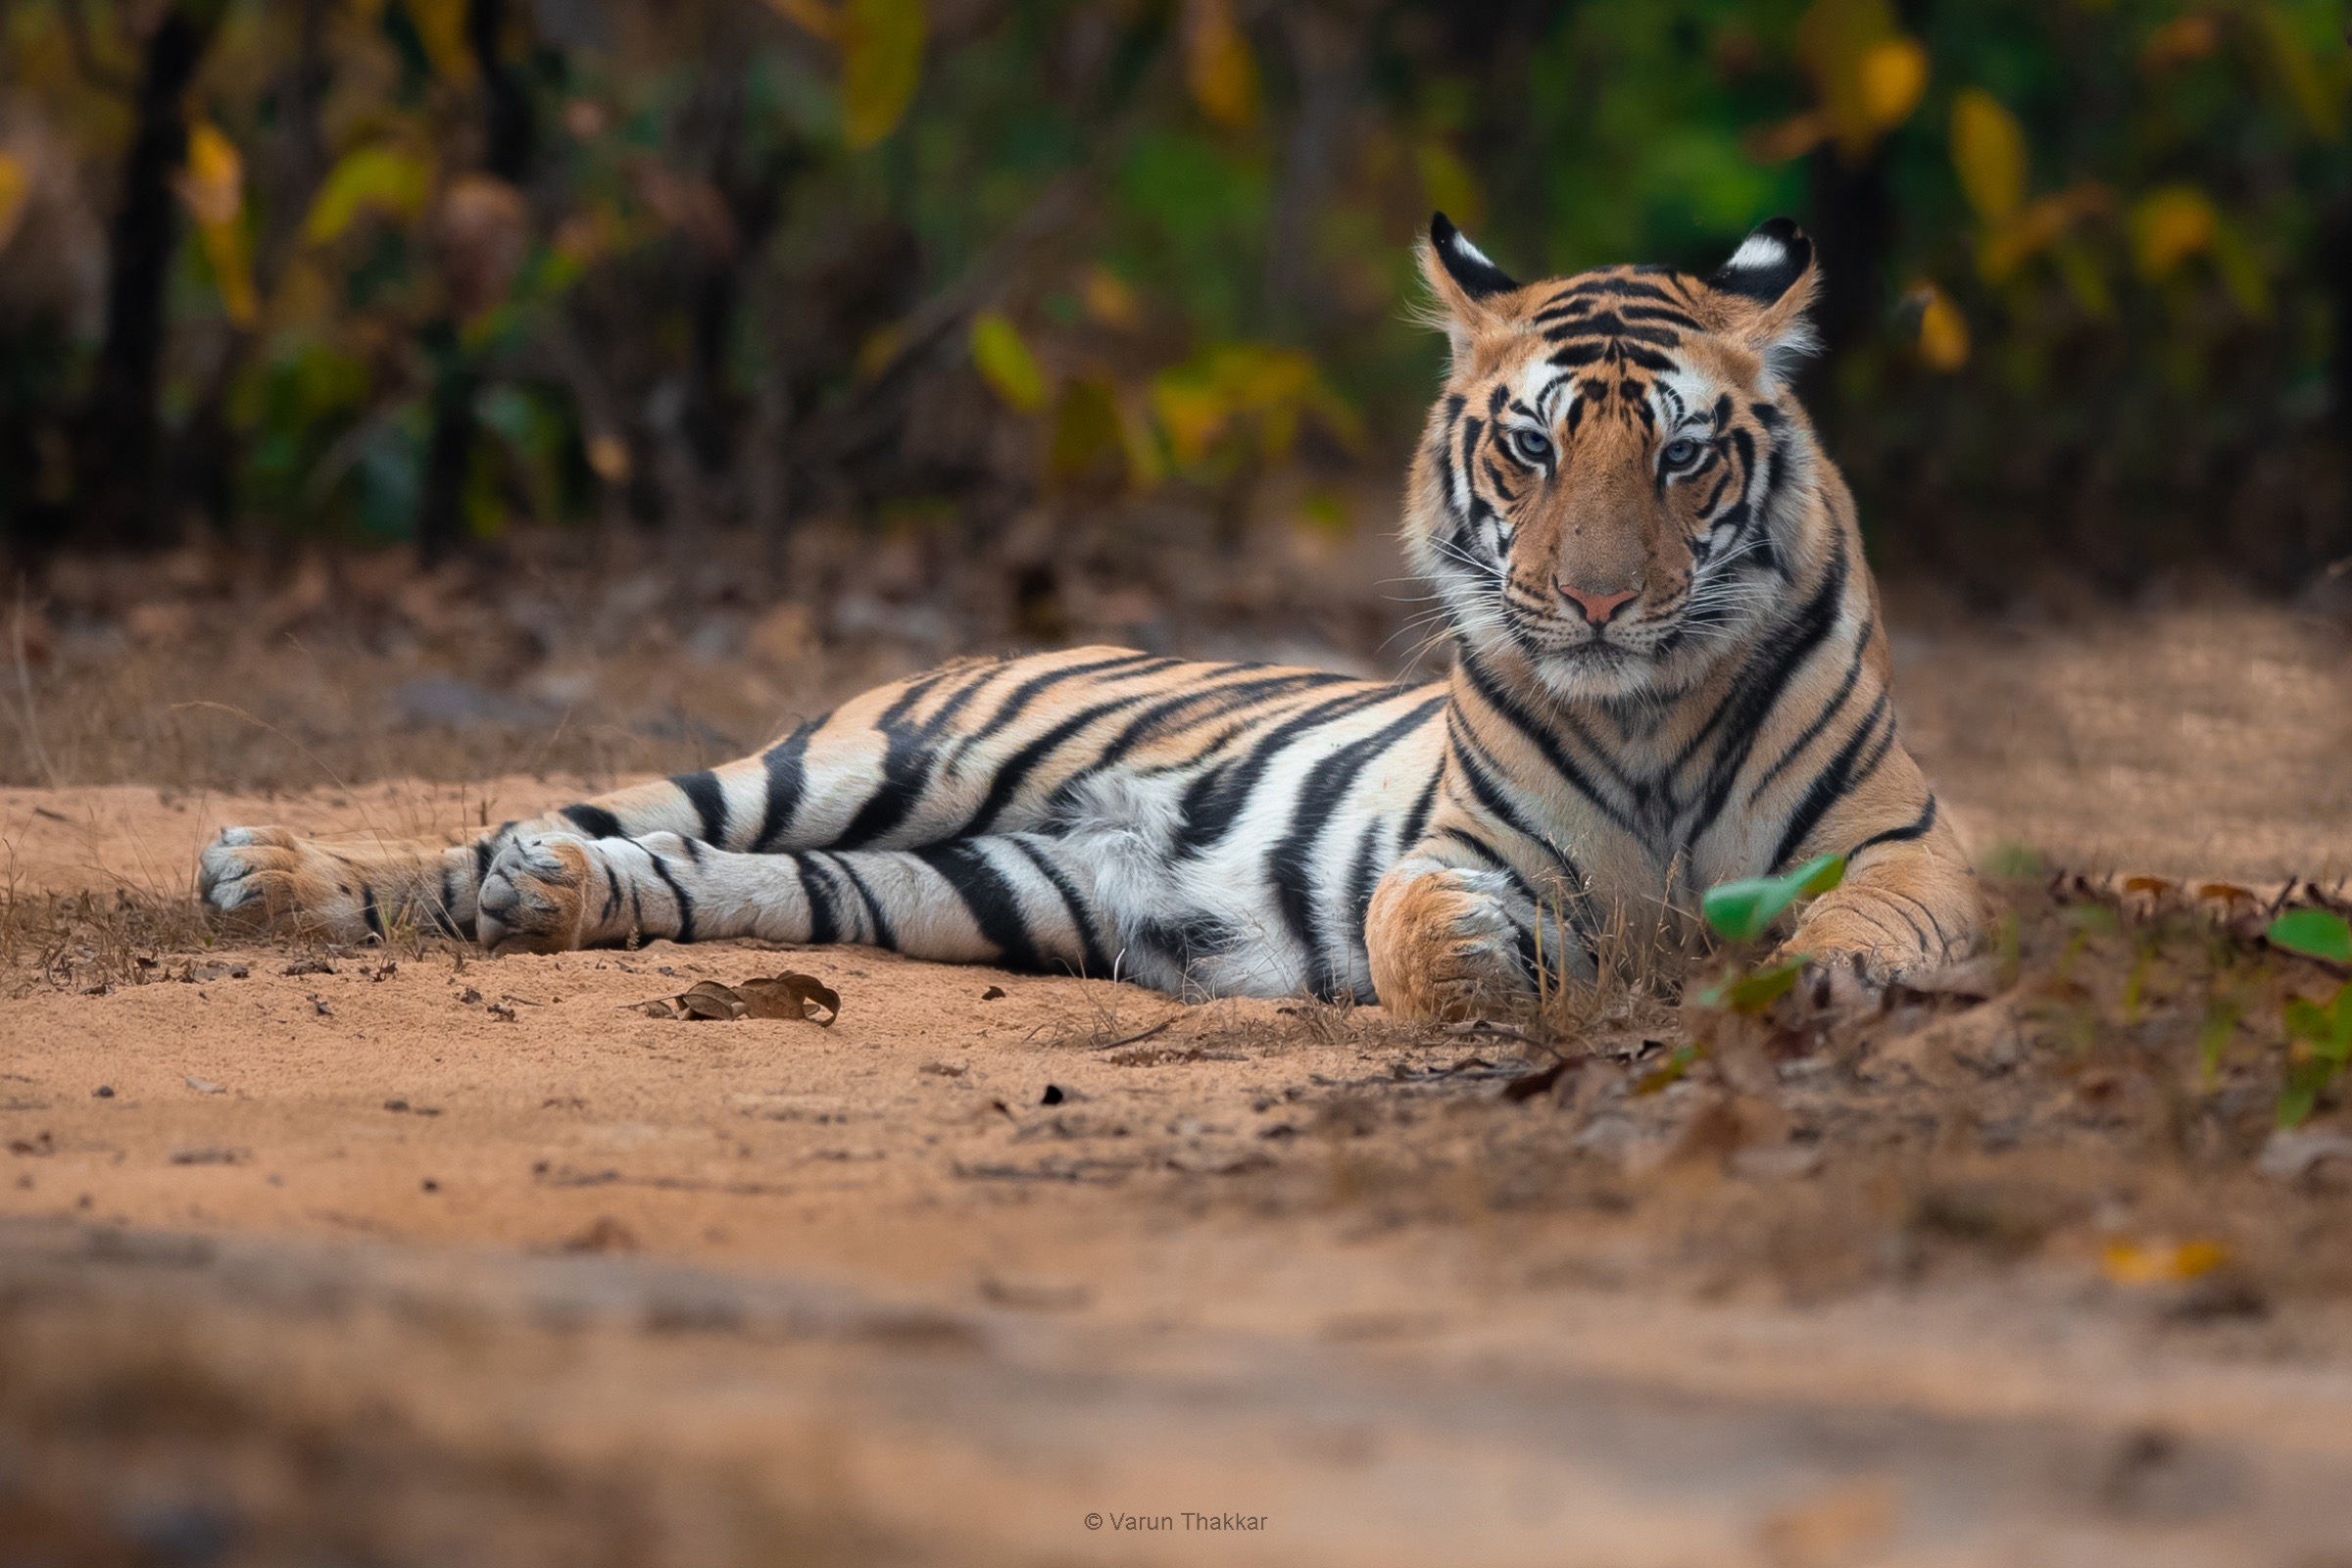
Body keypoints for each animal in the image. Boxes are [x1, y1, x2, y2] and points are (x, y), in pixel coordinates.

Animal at [198, 214, 1987, 1019]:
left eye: (1682, 454)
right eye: (1534, 445)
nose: (1598, 598)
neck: (1647, 702)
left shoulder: (1903, 851)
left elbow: (1858, 926)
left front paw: (1784, 979)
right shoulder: (1467, 846)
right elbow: (1421, 925)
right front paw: (1491, 973)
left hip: (980, 885)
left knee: (710, 877)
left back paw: (548, 899)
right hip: (859, 766)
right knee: (565, 814)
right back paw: (282, 873)